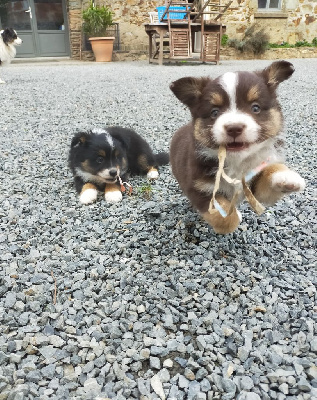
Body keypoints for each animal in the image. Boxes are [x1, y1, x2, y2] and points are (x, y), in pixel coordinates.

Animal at [169, 60, 304, 233]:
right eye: (214, 112)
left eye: (255, 108)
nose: (234, 128)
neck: (236, 162)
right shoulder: (198, 188)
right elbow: (225, 218)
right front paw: (233, 215)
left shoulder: (255, 186)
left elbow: (269, 175)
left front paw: (286, 176)